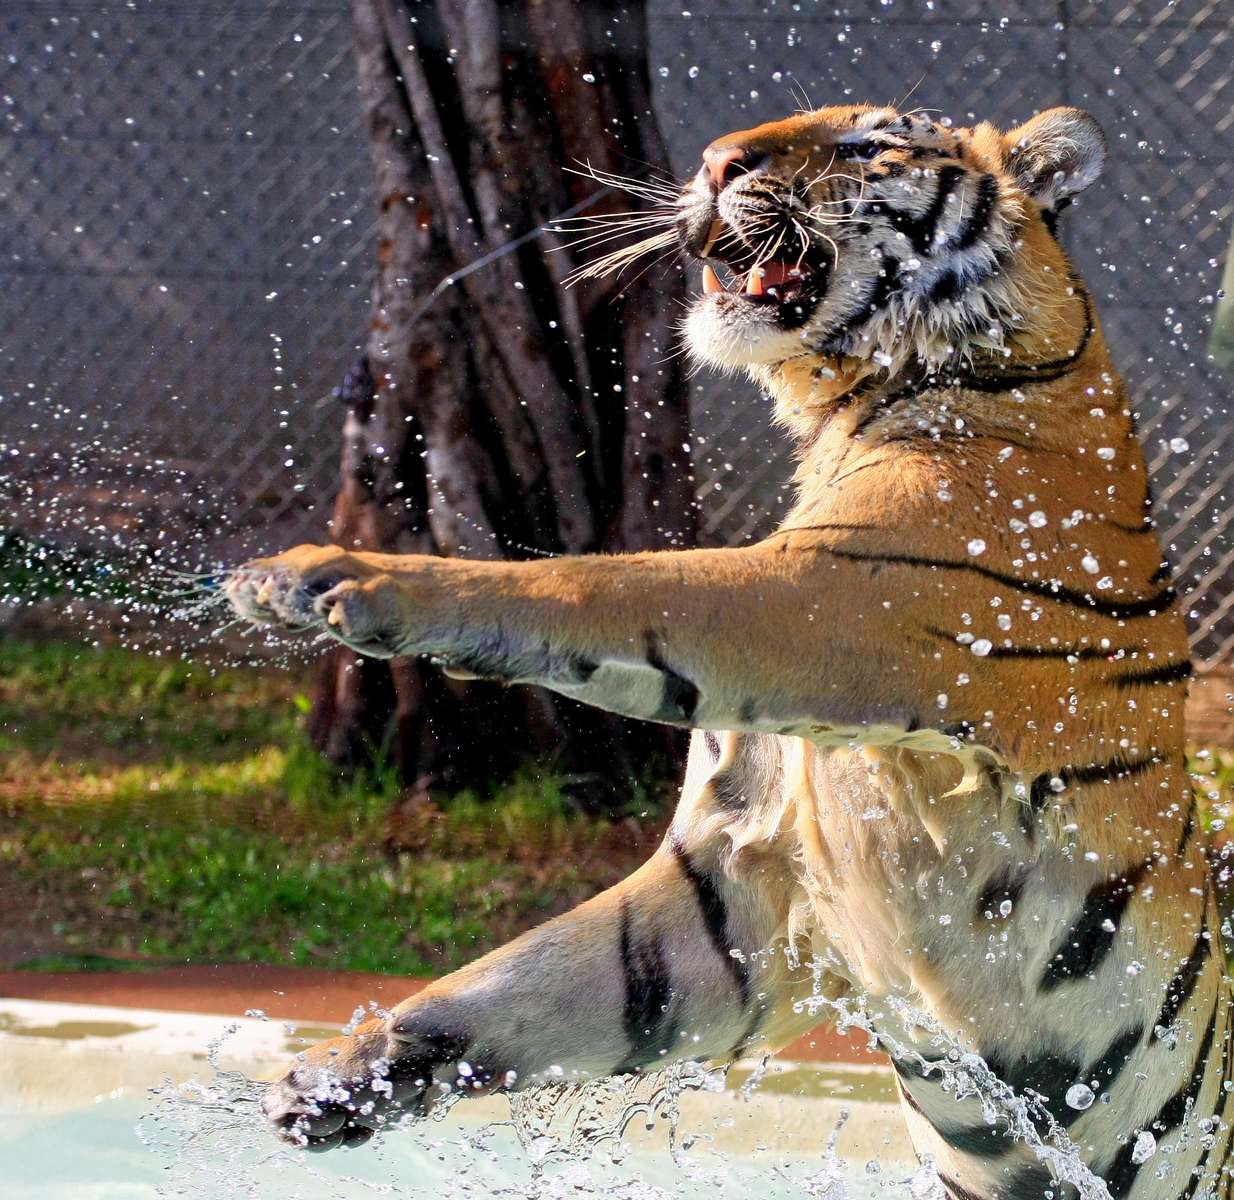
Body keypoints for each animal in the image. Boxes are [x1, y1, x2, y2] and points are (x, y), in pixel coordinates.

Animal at [226, 103, 1224, 1200]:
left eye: (865, 144)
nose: (712, 164)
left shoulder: (822, 602)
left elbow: (592, 585)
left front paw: (326, 578)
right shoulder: (742, 886)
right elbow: (540, 977)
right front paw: (339, 1074)